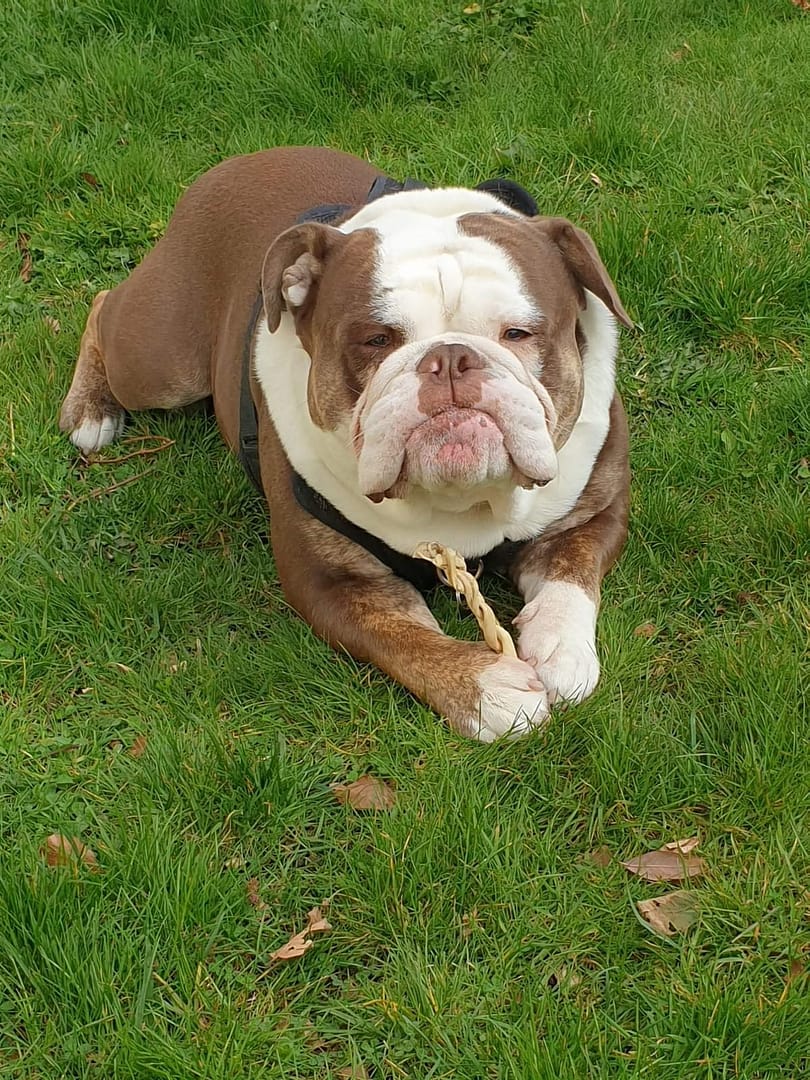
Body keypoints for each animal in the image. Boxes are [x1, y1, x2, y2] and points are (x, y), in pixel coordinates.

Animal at [61, 147, 635, 743]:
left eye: (519, 333)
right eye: (375, 340)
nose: (450, 357)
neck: (461, 504)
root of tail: (240, 161)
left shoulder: (596, 512)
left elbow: (571, 577)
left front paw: (561, 651)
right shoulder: (331, 582)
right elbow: (403, 636)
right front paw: (487, 689)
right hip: (160, 360)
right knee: (103, 307)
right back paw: (90, 411)